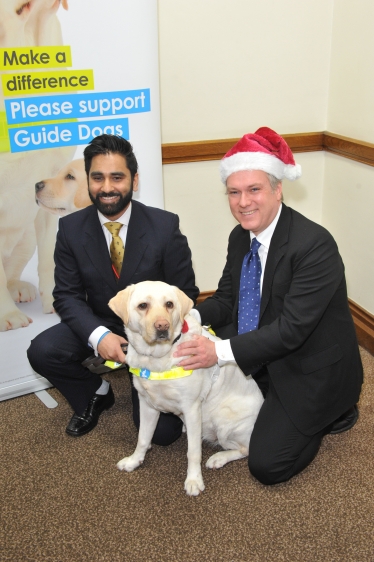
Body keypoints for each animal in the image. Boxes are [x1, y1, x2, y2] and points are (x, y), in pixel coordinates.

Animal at [109, 280, 264, 494]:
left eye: (169, 304)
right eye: (142, 306)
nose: (162, 326)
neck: (157, 358)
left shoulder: (191, 408)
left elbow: (193, 452)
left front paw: (194, 480)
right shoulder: (147, 405)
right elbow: (143, 438)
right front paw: (134, 461)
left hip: (223, 422)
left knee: (244, 449)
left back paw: (218, 458)